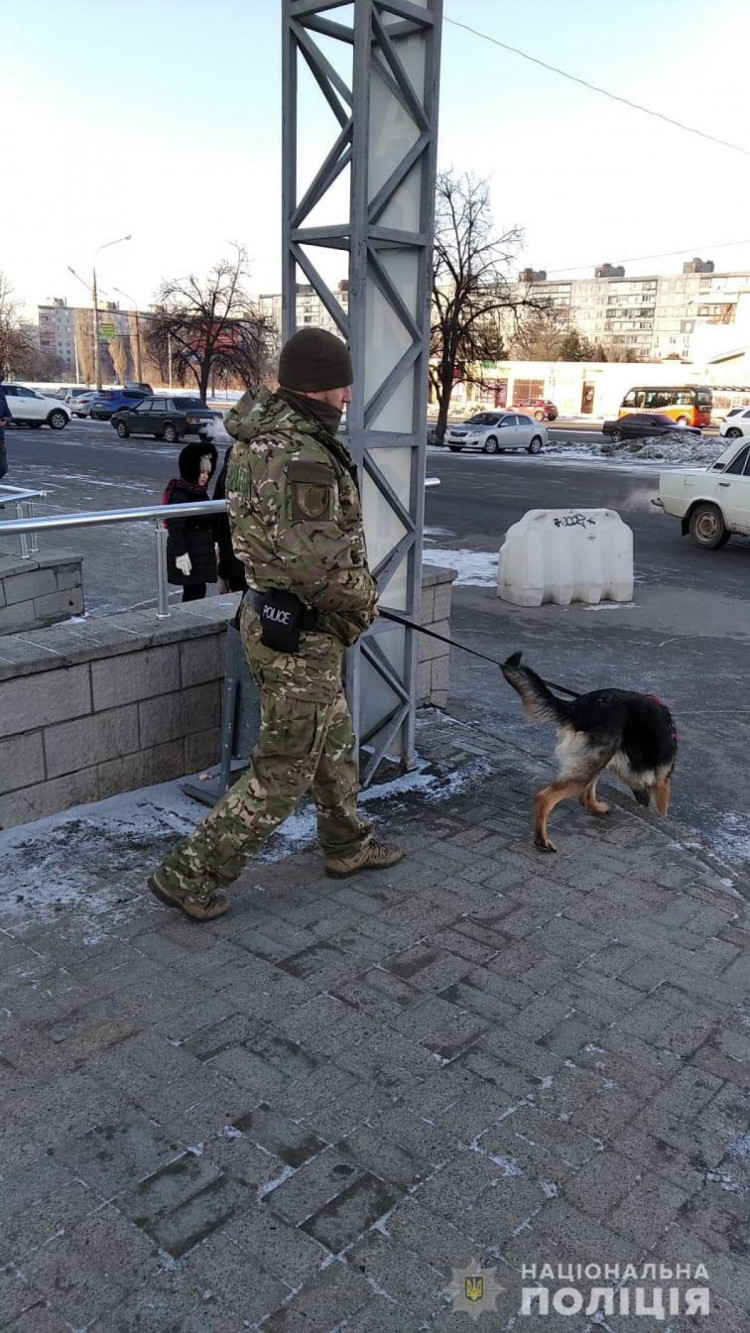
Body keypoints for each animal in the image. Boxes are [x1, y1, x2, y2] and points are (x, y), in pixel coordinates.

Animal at [500, 653, 676, 853]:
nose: (644, 804)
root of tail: (578, 707)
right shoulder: (663, 781)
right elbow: (662, 809)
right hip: (592, 763)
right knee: (544, 798)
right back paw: (542, 841)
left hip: (596, 759)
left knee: (584, 794)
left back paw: (595, 808)